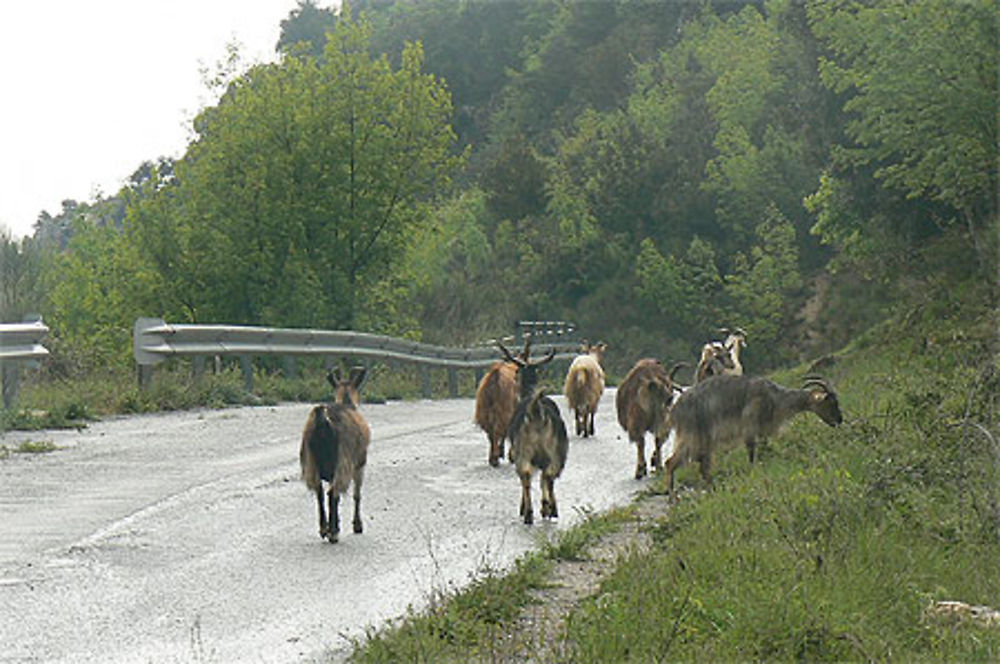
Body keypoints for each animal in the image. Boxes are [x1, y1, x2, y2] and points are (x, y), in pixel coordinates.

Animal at [302, 366, 374, 544]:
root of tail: (323, 420)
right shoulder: (360, 464)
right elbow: (357, 494)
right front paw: (357, 525)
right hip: (343, 461)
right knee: (332, 493)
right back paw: (333, 532)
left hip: (311, 462)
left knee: (320, 492)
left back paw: (324, 528)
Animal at [474, 338, 532, 466]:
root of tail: (494, 376)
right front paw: (509, 455)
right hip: (504, 409)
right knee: (498, 429)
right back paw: (496, 457)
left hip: (484, 409)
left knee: (490, 431)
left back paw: (492, 457)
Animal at [496, 342, 568, 524]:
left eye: (517, 371)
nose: (515, 377)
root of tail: (536, 412)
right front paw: (550, 508)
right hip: (552, 452)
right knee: (545, 477)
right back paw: (544, 509)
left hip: (525, 450)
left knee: (529, 477)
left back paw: (530, 512)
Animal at [664, 376, 844, 500]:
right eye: (831, 403)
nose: (839, 421)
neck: (774, 398)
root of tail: (675, 410)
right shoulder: (750, 427)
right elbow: (752, 452)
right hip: (693, 437)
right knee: (670, 463)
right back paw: (673, 498)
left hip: (704, 442)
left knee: (703, 468)